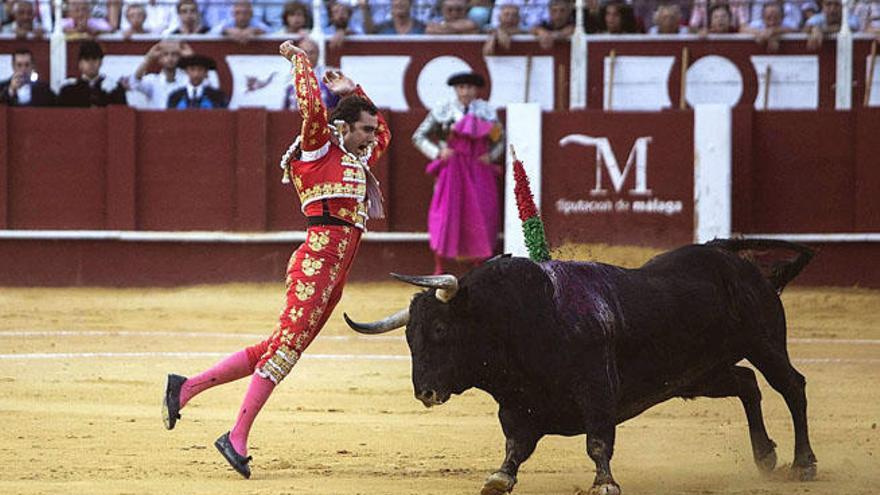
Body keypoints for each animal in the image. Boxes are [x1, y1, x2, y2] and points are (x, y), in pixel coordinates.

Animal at [344, 240, 820, 495]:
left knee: (791, 387)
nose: (424, 392)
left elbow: (597, 441)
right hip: (701, 374)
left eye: (441, 329)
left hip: (764, 343)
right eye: (409, 337)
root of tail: (731, 258)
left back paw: (803, 463)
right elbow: (515, 446)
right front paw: (500, 477)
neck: (523, 319)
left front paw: (605, 482)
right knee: (747, 384)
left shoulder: (597, 391)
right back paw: (765, 455)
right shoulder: (516, 406)